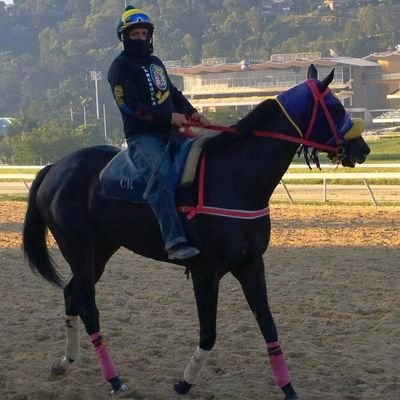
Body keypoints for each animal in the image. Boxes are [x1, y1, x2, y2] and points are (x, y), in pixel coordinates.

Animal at [23, 66, 370, 400]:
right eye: (335, 107)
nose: (363, 148)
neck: (234, 179)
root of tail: (54, 168)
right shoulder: (206, 271)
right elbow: (209, 332)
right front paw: (185, 383)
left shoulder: (251, 265)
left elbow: (268, 325)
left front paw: (288, 388)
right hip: (79, 248)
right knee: (88, 306)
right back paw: (115, 379)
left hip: (101, 250)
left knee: (72, 294)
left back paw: (64, 362)